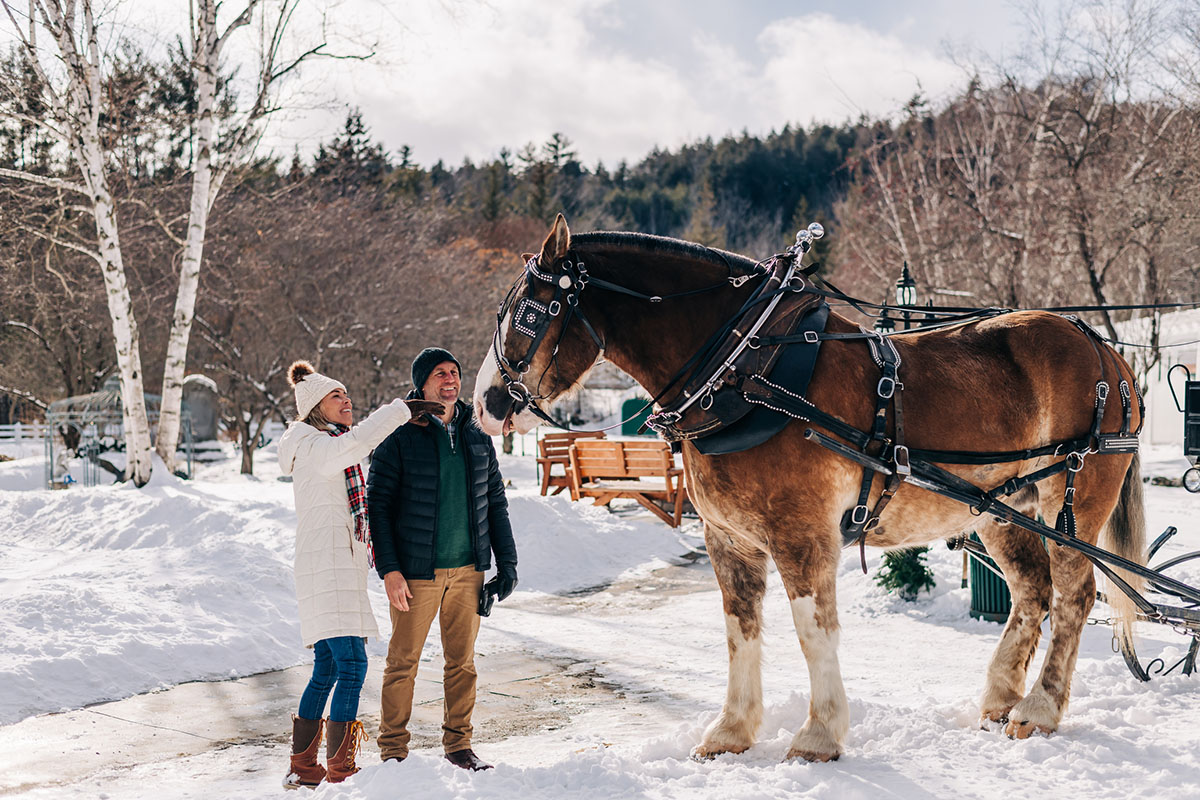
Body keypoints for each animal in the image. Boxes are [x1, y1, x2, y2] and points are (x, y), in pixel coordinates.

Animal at [472, 214, 1146, 762]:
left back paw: (1040, 708)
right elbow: (740, 629)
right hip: (1001, 509)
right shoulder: (728, 538)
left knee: (1074, 597)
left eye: (528, 311)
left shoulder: (801, 533)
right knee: (1031, 594)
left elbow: (812, 630)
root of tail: (1105, 350)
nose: (485, 403)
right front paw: (732, 732)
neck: (747, 368)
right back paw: (1000, 700)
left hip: (1071, 503)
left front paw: (818, 735)